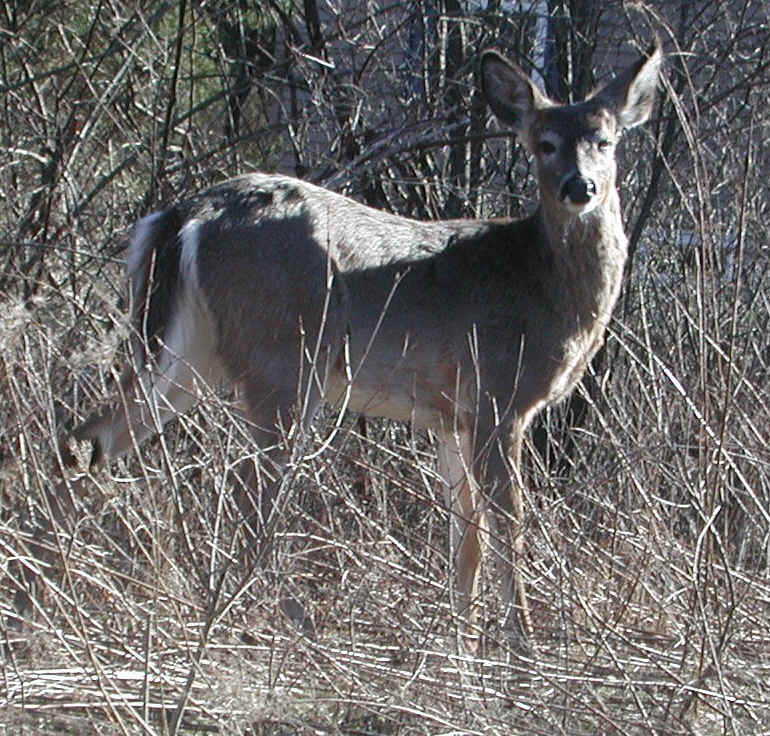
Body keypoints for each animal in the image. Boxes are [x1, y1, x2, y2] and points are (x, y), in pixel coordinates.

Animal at [59, 38, 662, 650]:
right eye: (544, 144)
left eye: (606, 140)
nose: (580, 187)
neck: (542, 283)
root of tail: (188, 212)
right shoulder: (501, 394)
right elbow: (507, 527)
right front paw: (522, 650)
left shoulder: (453, 414)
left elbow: (465, 538)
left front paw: (463, 651)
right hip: (283, 358)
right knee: (250, 501)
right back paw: (285, 624)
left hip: (190, 354)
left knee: (90, 436)